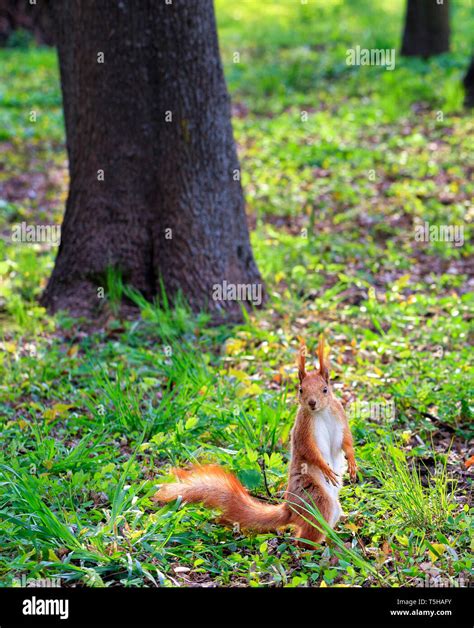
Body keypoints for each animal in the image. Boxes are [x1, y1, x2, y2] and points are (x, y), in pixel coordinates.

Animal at [154, 336, 358, 548]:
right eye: (301, 390)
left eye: (325, 390)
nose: (312, 403)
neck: (321, 412)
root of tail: (290, 509)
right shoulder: (303, 429)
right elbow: (308, 450)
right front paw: (326, 468)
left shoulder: (340, 417)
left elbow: (346, 442)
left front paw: (352, 462)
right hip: (316, 499)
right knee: (304, 537)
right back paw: (317, 547)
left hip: (331, 508)